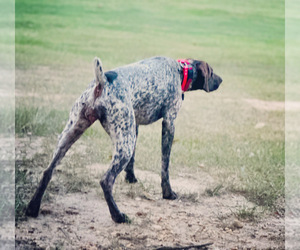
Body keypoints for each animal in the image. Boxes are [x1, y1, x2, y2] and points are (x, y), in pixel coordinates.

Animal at [26, 56, 223, 223]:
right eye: (212, 72)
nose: (221, 80)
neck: (180, 70)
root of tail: (102, 81)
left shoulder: (135, 126)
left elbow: (133, 161)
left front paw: (131, 178)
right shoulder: (169, 123)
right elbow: (165, 166)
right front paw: (168, 193)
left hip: (73, 134)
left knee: (47, 171)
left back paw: (32, 208)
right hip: (122, 146)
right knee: (106, 181)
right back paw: (118, 216)